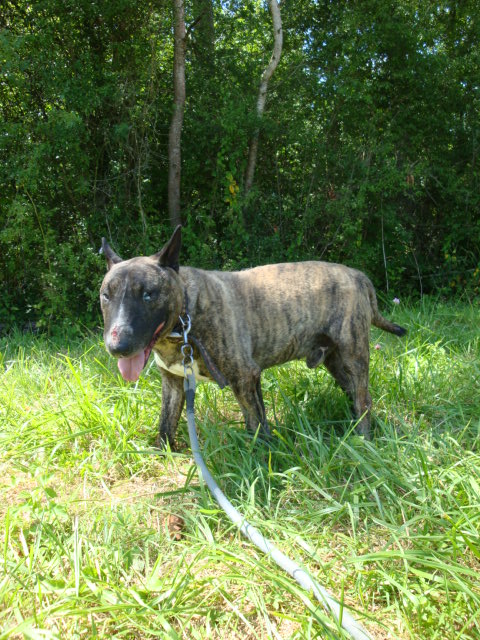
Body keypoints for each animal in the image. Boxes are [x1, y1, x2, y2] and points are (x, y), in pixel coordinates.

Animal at [100, 229, 404, 444]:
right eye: (106, 295)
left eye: (148, 294)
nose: (117, 347)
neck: (185, 318)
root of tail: (358, 275)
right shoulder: (173, 383)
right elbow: (166, 424)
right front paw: (163, 453)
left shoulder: (245, 377)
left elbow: (256, 424)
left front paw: (261, 460)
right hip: (336, 362)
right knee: (355, 395)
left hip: (353, 356)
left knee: (363, 399)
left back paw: (363, 439)